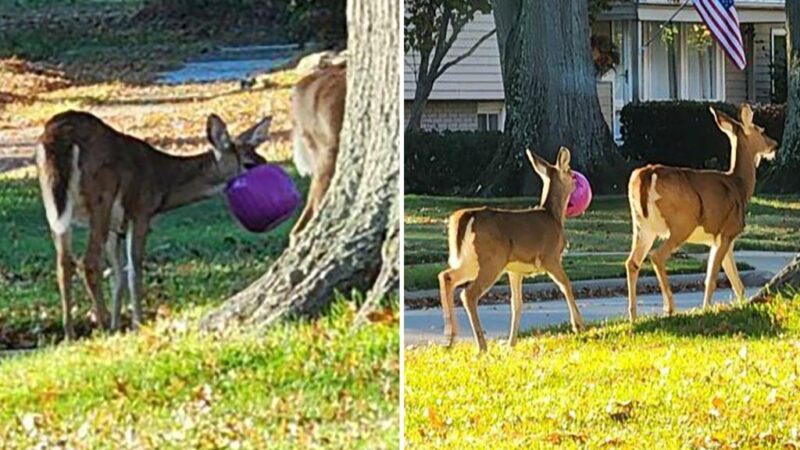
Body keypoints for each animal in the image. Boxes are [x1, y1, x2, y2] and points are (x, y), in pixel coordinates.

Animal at [35, 110, 272, 340]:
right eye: (249, 163)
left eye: (263, 158)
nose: (269, 175)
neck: (162, 183)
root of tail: (59, 137)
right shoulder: (140, 211)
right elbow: (134, 269)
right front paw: (136, 324)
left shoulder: (116, 228)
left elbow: (118, 275)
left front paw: (118, 324)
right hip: (101, 195)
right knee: (88, 262)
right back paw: (102, 326)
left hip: (53, 205)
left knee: (63, 264)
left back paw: (70, 333)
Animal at [440, 148, 584, 352]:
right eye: (570, 172)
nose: (576, 182)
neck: (554, 216)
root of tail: (465, 217)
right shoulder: (550, 257)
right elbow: (566, 285)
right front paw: (578, 326)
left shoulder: (515, 270)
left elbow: (516, 303)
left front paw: (511, 343)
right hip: (491, 260)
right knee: (468, 293)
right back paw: (481, 345)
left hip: (472, 260)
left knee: (446, 276)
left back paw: (450, 338)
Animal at [628, 103, 780, 322]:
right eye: (761, 130)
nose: (775, 145)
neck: (740, 185)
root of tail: (648, 174)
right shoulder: (727, 231)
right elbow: (712, 277)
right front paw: (706, 308)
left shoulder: (721, 239)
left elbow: (737, 282)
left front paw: (742, 305)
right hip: (681, 223)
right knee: (656, 256)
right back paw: (670, 308)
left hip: (642, 226)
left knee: (632, 262)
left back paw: (633, 315)